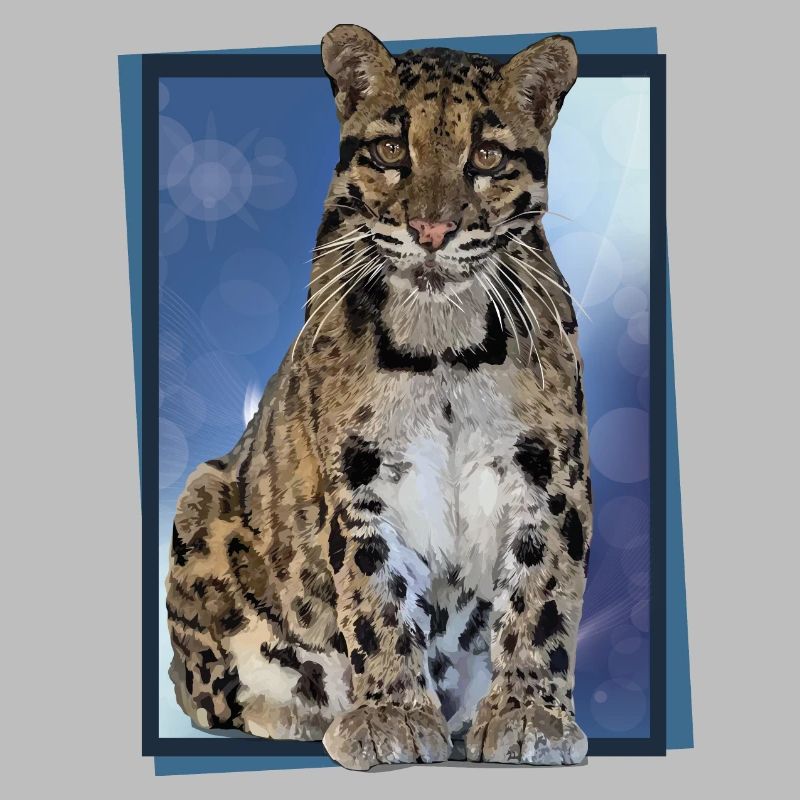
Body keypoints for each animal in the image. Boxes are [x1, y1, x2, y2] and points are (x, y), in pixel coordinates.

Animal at [166, 24, 592, 770]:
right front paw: (391, 715)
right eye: (393, 149)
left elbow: (542, 595)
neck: (444, 344)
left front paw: (528, 714)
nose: (431, 231)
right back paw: (300, 711)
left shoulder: (549, 473)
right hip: (201, 496)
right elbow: (375, 596)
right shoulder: (359, 476)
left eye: (486, 155)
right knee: (207, 692)